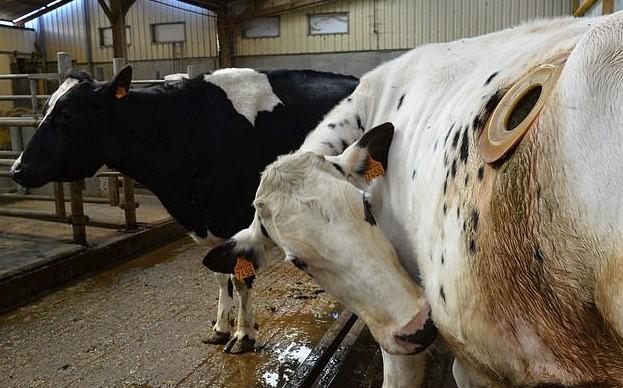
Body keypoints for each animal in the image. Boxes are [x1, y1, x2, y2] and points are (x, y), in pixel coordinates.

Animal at [12, 67, 358, 354]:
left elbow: (240, 278)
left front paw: (243, 335)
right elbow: (220, 275)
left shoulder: (236, 217)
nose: (17, 169)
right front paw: (220, 327)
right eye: (45, 109)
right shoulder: (210, 221)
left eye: (66, 114)